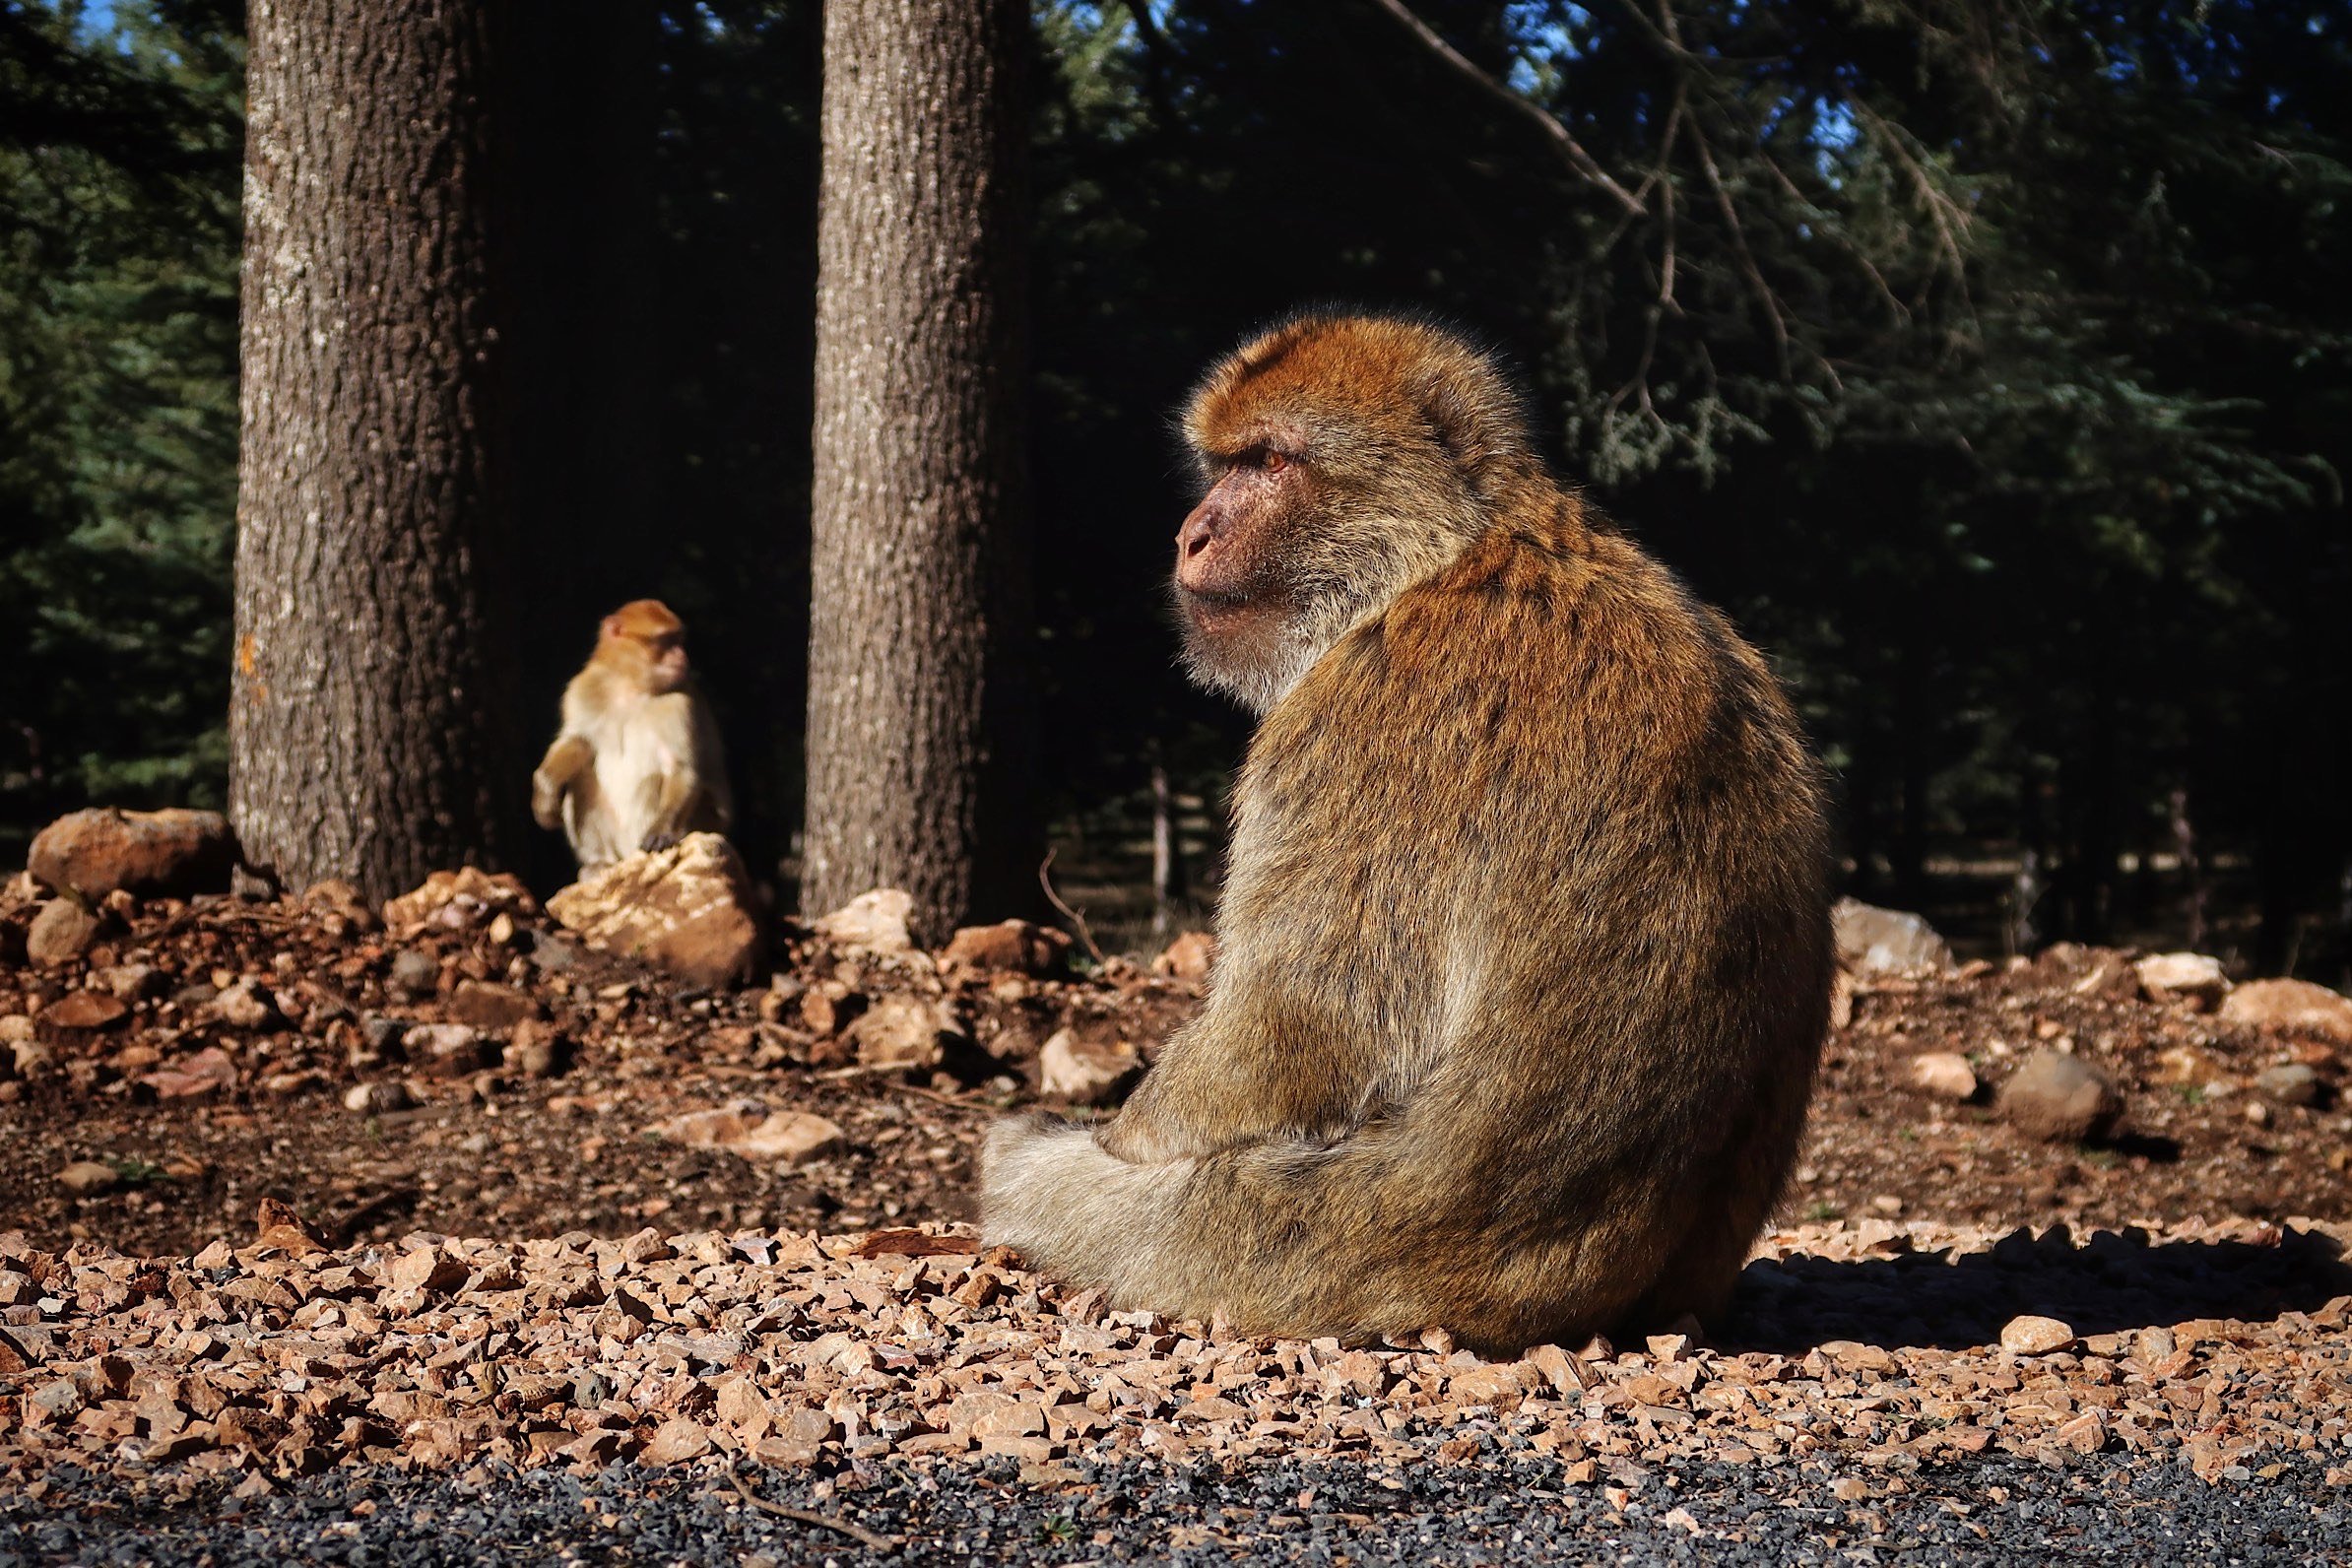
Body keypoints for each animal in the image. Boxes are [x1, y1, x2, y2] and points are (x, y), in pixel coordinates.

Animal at [536, 597, 734, 870]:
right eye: (666, 641)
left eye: (678, 640)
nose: (682, 656)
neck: (630, 687)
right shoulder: (583, 688)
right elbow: (578, 741)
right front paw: (544, 791)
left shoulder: (680, 702)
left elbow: (680, 767)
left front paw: (662, 830)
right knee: (582, 775)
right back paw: (599, 863)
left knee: (655, 778)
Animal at [983, 314, 1825, 1353]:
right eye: (1222, 464)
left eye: (1269, 462)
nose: (1191, 533)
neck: (1456, 553)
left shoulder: (1358, 718)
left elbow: (1301, 1030)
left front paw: (1110, 1134)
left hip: (1297, 1250)